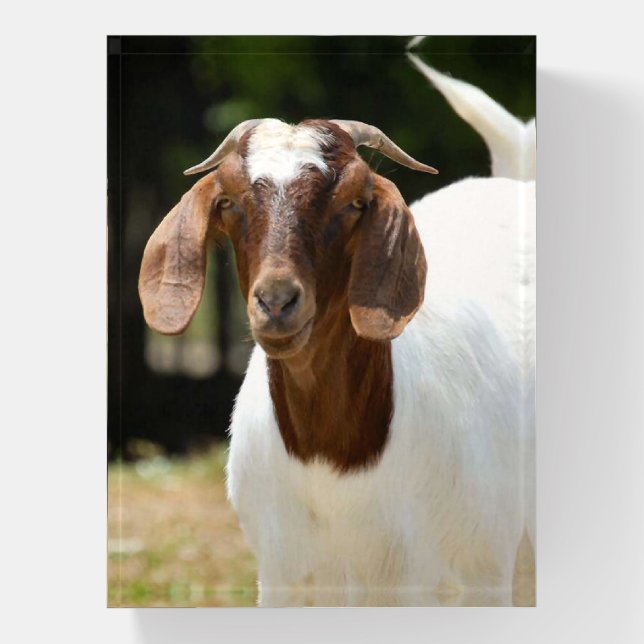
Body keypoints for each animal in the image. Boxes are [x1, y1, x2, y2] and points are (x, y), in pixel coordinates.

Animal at [139, 115, 535, 606]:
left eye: (355, 202)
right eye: (227, 200)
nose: (276, 301)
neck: (336, 466)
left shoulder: (481, 577)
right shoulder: (282, 581)